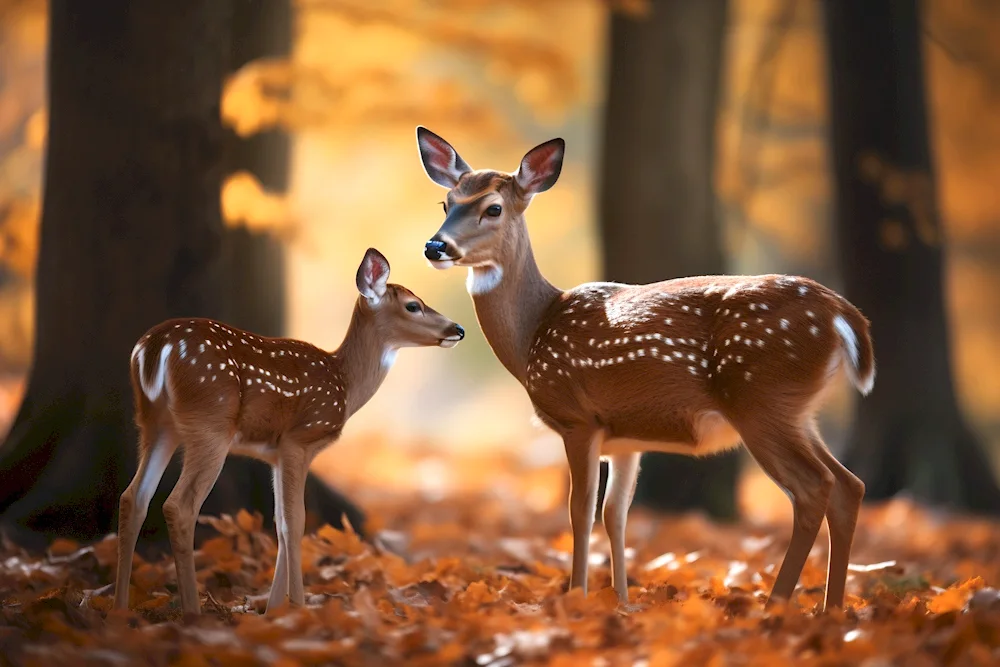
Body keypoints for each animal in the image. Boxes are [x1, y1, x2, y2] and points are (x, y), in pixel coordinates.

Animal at [115, 248, 466, 612]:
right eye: (413, 305)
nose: (458, 328)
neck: (345, 383)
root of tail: (153, 349)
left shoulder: (276, 453)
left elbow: (281, 523)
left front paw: (273, 610)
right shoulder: (301, 439)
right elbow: (297, 522)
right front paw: (298, 607)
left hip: (155, 422)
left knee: (132, 497)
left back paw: (119, 608)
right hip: (209, 421)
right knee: (179, 506)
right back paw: (192, 612)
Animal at [414, 128, 876, 612]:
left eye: (493, 208)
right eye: (447, 203)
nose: (436, 246)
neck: (533, 335)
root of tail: (843, 314)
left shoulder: (577, 418)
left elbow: (580, 510)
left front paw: (577, 597)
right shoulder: (626, 439)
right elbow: (615, 513)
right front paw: (621, 601)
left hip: (761, 400)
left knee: (814, 488)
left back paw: (776, 606)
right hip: (798, 411)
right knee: (850, 485)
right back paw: (832, 609)